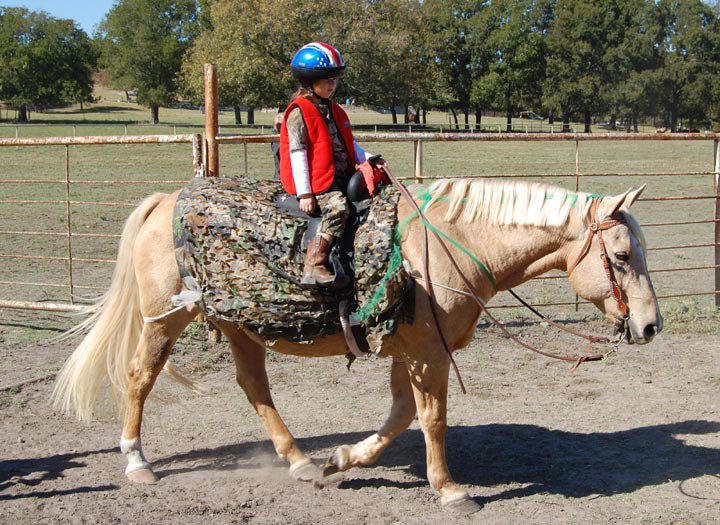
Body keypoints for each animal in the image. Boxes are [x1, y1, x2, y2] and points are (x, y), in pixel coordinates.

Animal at [53, 179, 664, 512]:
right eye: (622, 256)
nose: (651, 326)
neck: (447, 243)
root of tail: (166, 200)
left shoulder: (409, 351)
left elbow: (399, 416)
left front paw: (342, 460)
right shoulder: (427, 353)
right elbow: (432, 419)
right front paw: (450, 490)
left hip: (240, 327)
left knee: (254, 387)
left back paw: (300, 460)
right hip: (165, 318)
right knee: (140, 376)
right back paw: (136, 461)